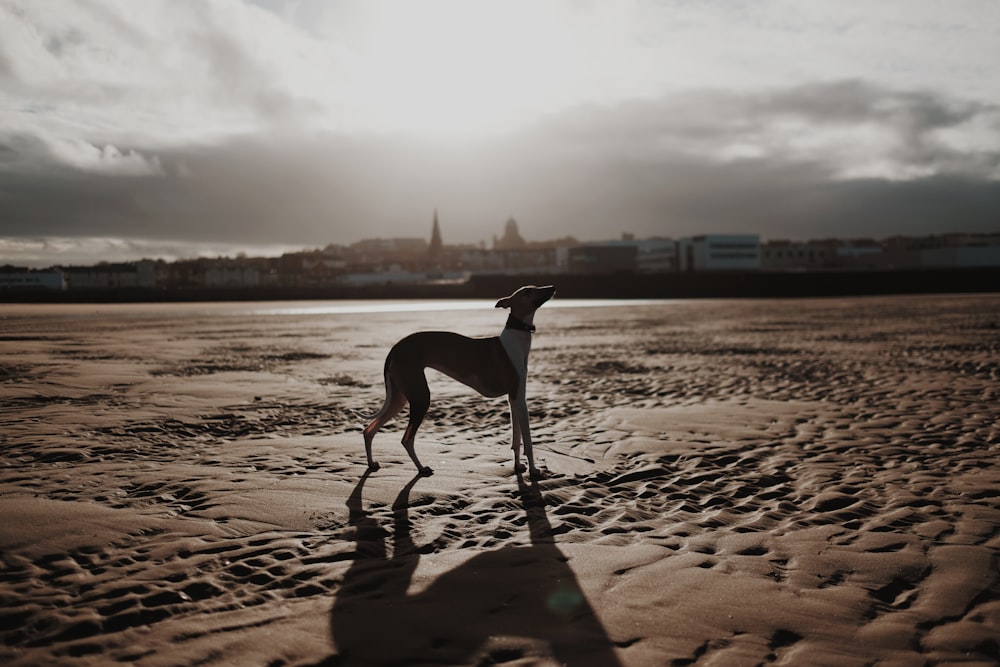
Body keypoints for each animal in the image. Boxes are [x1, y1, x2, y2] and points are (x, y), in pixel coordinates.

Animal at [366, 284, 560, 478]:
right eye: (528, 291)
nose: (552, 286)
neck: (516, 336)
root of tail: (396, 348)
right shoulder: (520, 399)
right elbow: (527, 441)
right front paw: (534, 471)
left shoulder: (513, 398)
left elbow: (516, 438)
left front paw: (518, 466)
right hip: (421, 397)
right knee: (406, 439)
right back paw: (421, 468)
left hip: (400, 397)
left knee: (369, 431)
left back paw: (371, 463)